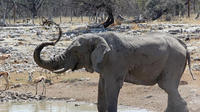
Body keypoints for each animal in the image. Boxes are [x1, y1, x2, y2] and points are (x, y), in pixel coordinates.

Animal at [33, 31, 195, 112]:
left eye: (75, 51)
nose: (53, 41)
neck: (99, 37)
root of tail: (183, 45)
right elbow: (101, 88)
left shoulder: (115, 62)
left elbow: (112, 87)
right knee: (171, 90)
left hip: (173, 60)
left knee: (167, 86)